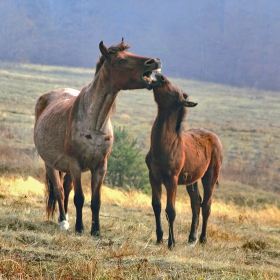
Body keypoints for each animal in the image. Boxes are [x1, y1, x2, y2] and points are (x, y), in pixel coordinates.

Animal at [34, 39, 162, 235]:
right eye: (122, 60)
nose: (154, 61)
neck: (94, 124)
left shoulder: (101, 166)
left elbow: (96, 201)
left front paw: (96, 231)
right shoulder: (76, 163)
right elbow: (79, 198)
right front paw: (80, 228)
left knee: (66, 188)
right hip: (51, 165)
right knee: (58, 190)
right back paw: (63, 222)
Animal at [145, 73, 222, 248]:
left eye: (175, 94)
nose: (160, 76)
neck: (166, 145)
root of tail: (215, 137)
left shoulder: (171, 179)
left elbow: (171, 211)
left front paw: (171, 243)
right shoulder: (154, 177)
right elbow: (156, 206)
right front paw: (159, 238)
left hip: (210, 176)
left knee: (206, 205)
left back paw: (202, 239)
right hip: (191, 180)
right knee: (196, 203)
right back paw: (192, 237)